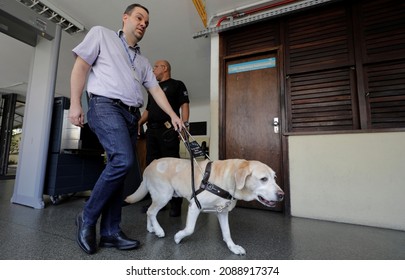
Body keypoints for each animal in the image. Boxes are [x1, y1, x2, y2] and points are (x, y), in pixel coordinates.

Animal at [124, 156, 282, 255]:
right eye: (263, 179)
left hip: (159, 196)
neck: (228, 179)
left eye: (274, 178)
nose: (282, 195)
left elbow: (227, 232)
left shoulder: (222, 212)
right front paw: (178, 237)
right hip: (164, 195)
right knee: (151, 212)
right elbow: (189, 229)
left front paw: (233, 247)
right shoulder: (195, 205)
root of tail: (150, 164)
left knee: (150, 211)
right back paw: (158, 230)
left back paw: (151, 228)